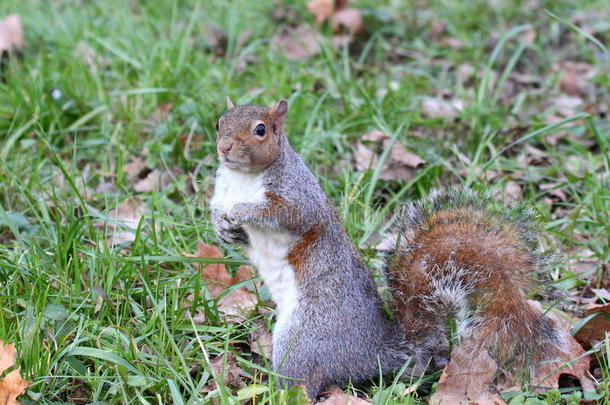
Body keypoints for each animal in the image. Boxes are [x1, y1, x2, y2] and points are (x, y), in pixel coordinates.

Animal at [209, 97, 564, 398]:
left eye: (260, 129)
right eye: (218, 123)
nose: (224, 147)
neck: (243, 179)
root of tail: (376, 352)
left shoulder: (299, 196)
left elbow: (287, 214)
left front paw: (242, 211)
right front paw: (221, 226)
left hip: (302, 340)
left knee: (302, 384)